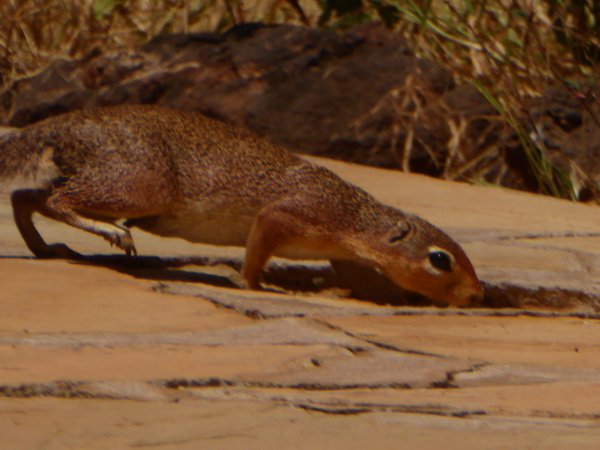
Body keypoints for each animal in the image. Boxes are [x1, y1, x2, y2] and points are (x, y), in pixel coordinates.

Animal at [0, 104, 480, 306]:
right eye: (441, 259)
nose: (477, 294)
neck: (353, 217)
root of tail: (62, 125)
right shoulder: (289, 215)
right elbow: (256, 252)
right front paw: (253, 284)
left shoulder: (341, 254)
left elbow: (367, 284)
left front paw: (398, 297)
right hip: (140, 184)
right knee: (57, 199)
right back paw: (112, 235)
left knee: (25, 196)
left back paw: (45, 248)